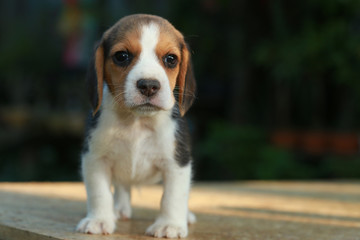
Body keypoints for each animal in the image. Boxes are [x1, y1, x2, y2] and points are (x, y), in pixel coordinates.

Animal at [75, 14, 197, 238]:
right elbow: (99, 193)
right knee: (122, 186)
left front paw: (170, 225)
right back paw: (119, 209)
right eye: (121, 56)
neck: (137, 122)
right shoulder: (95, 158)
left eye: (171, 59)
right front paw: (99, 220)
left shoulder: (177, 162)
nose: (149, 85)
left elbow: (173, 196)